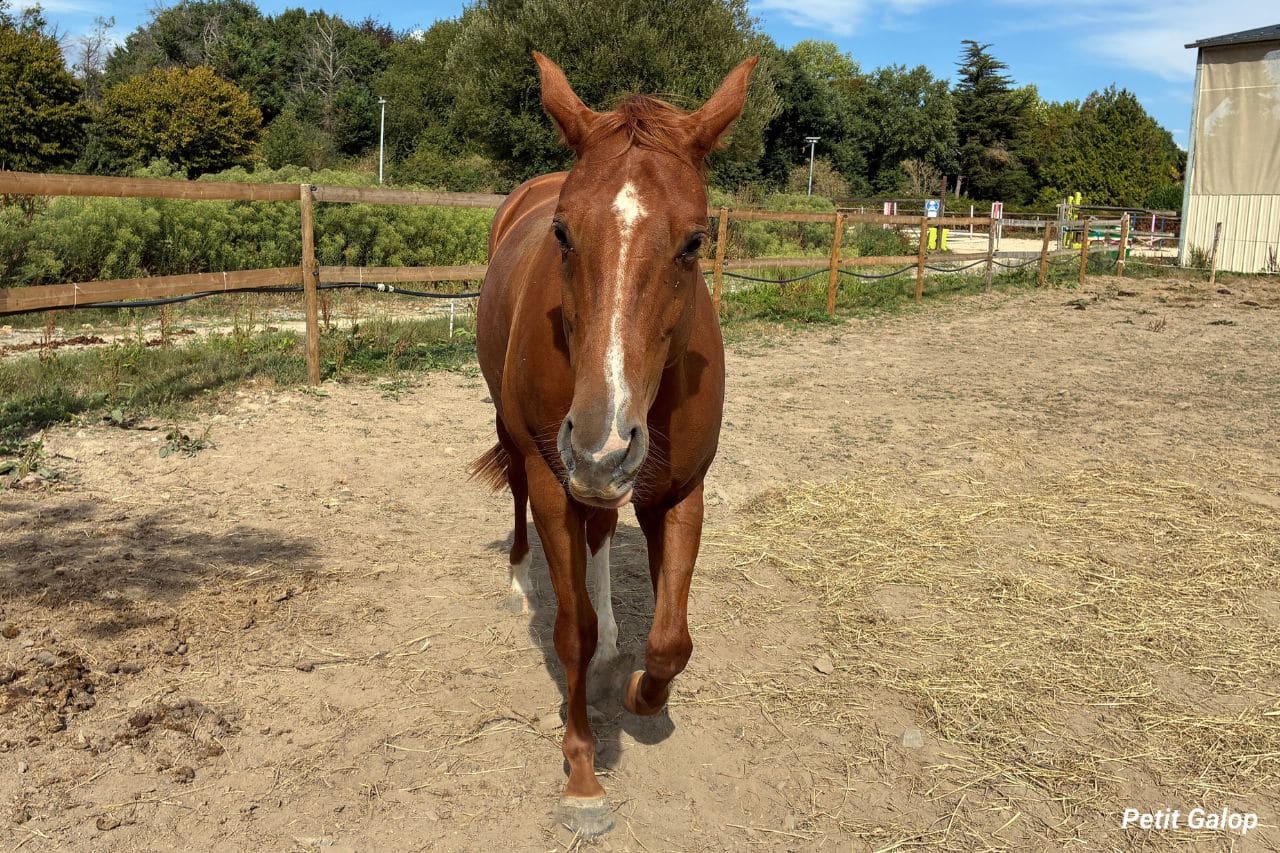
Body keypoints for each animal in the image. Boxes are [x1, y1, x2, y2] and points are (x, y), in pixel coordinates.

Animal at [471, 52, 757, 834]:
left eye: (694, 241)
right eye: (564, 234)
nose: (602, 442)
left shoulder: (679, 490)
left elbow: (672, 639)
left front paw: (637, 694)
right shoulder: (553, 478)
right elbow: (571, 628)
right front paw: (582, 772)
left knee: (600, 529)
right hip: (525, 442)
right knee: (523, 504)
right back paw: (519, 585)